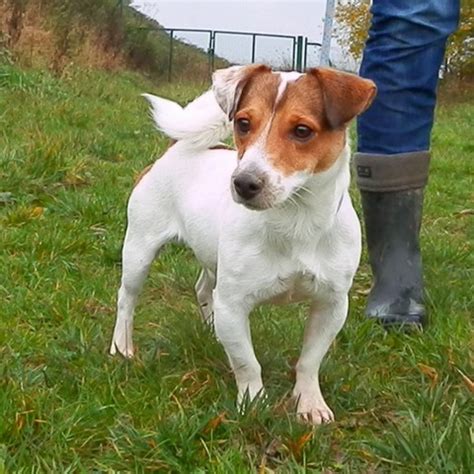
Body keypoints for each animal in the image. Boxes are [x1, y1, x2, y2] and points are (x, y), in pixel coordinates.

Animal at [109, 65, 376, 424]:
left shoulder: (332, 304)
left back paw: (211, 330)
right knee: (127, 298)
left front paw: (309, 403)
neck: (295, 222)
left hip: (212, 258)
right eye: (243, 123)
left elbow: (309, 361)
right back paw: (121, 347)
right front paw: (253, 402)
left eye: (302, 130)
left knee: (203, 288)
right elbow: (247, 362)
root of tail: (178, 148)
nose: (243, 183)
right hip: (139, 250)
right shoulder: (234, 304)